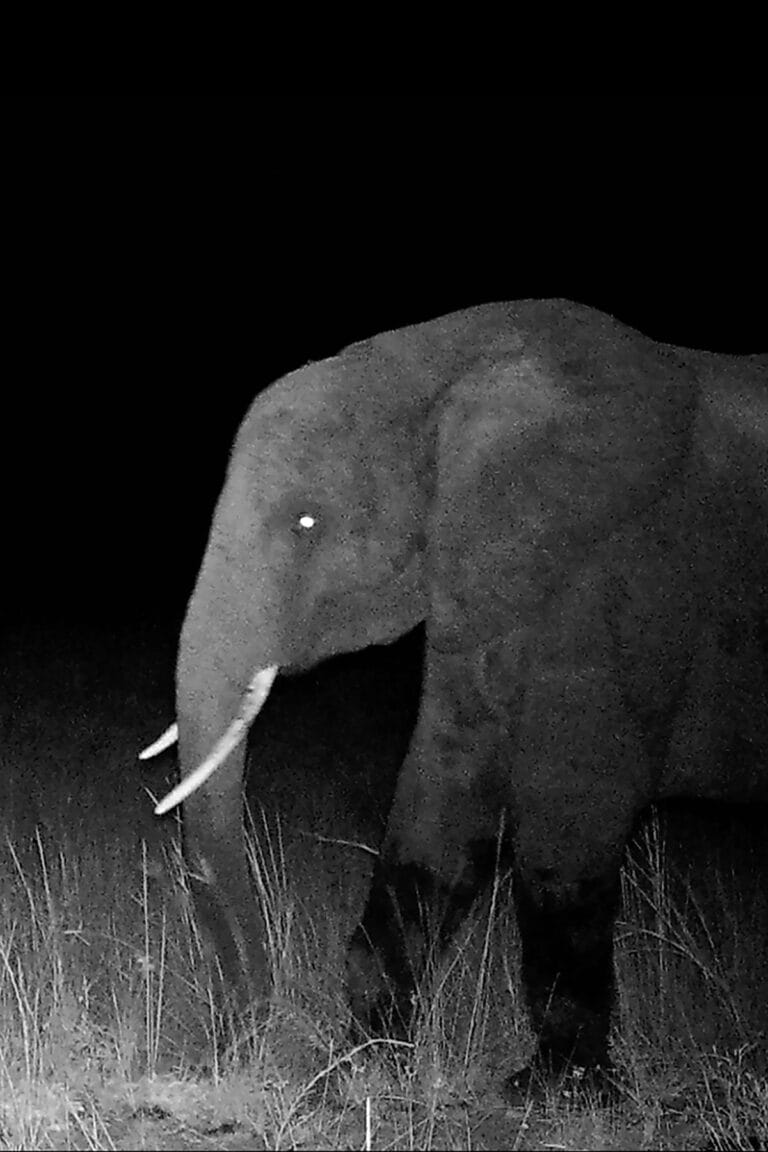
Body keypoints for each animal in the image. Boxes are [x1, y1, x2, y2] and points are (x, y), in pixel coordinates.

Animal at [142, 298, 767, 1091]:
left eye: (307, 522)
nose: (245, 1042)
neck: (444, 365)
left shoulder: (619, 581)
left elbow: (569, 817)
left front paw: (556, 1091)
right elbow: (444, 796)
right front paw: (365, 1068)